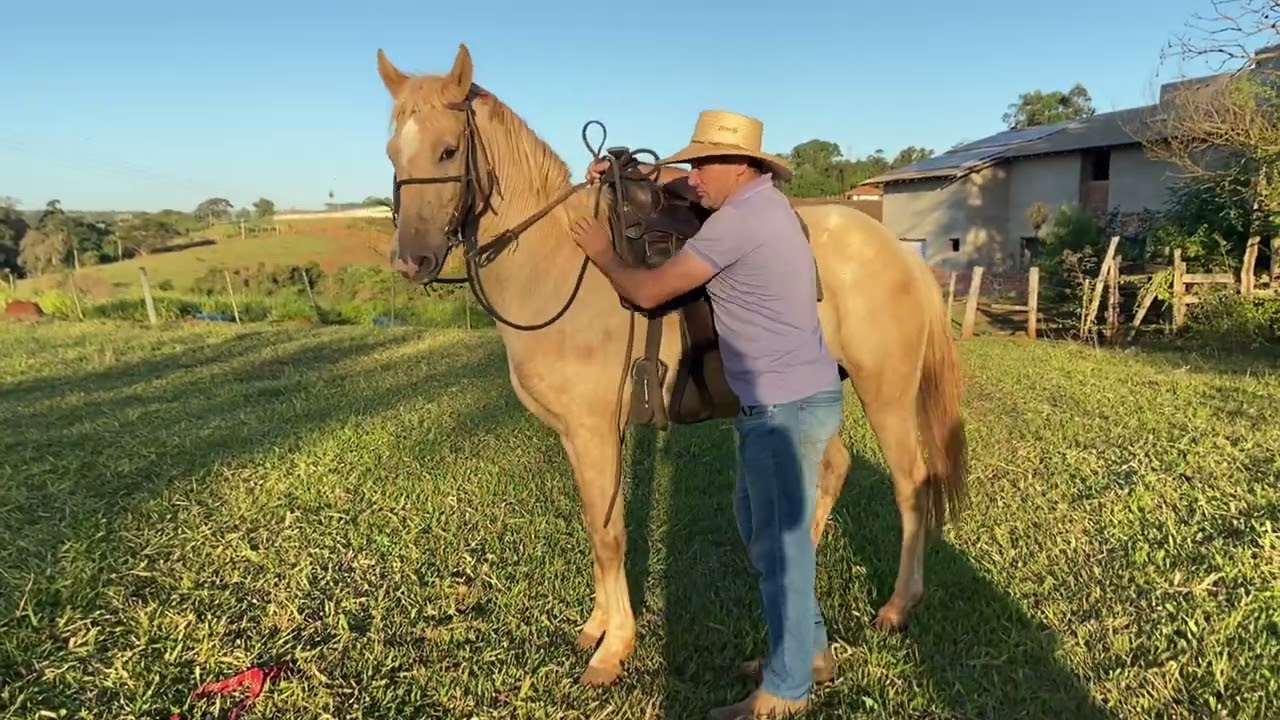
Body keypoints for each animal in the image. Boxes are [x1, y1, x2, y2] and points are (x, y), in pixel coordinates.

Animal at [375, 43, 969, 687]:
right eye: (391, 152)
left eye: (447, 150)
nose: (411, 261)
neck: (558, 262)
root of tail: (901, 254)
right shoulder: (576, 436)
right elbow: (597, 525)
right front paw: (597, 626)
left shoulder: (594, 431)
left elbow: (609, 535)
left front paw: (614, 648)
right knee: (831, 469)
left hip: (884, 393)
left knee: (911, 485)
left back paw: (898, 606)